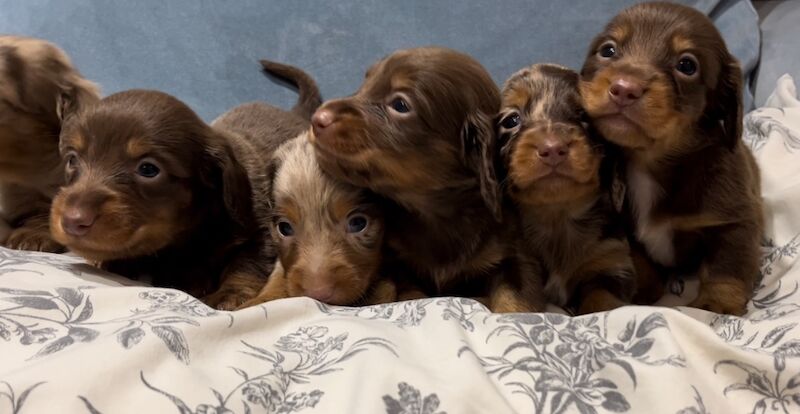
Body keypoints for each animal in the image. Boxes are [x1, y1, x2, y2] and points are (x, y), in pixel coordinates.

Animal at [308, 47, 544, 312]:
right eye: (365, 82)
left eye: (400, 105)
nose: (317, 118)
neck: (437, 215)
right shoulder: (389, 259)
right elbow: (386, 290)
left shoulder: (514, 254)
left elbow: (514, 299)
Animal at [500, 64, 632, 316]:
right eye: (511, 120)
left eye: (584, 115)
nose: (552, 149)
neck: (557, 217)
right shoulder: (519, 260)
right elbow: (517, 303)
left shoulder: (609, 262)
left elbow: (603, 301)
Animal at [580, 3, 764, 316]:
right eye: (608, 50)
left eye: (687, 65)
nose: (624, 88)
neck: (647, 162)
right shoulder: (624, 229)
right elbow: (639, 262)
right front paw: (644, 291)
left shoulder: (734, 220)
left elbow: (726, 266)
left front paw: (717, 303)